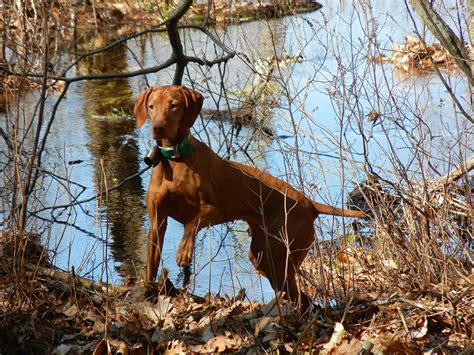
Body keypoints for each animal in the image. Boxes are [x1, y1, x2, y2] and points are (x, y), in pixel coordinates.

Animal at [135, 85, 364, 308]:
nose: (157, 127)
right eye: (152, 106)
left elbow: (192, 224)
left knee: (302, 299)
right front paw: (148, 292)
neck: (174, 158)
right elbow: (151, 263)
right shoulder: (157, 223)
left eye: (173, 105)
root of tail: (309, 204)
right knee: (300, 298)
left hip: (281, 257)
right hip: (264, 258)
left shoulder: (213, 210)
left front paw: (184, 251)